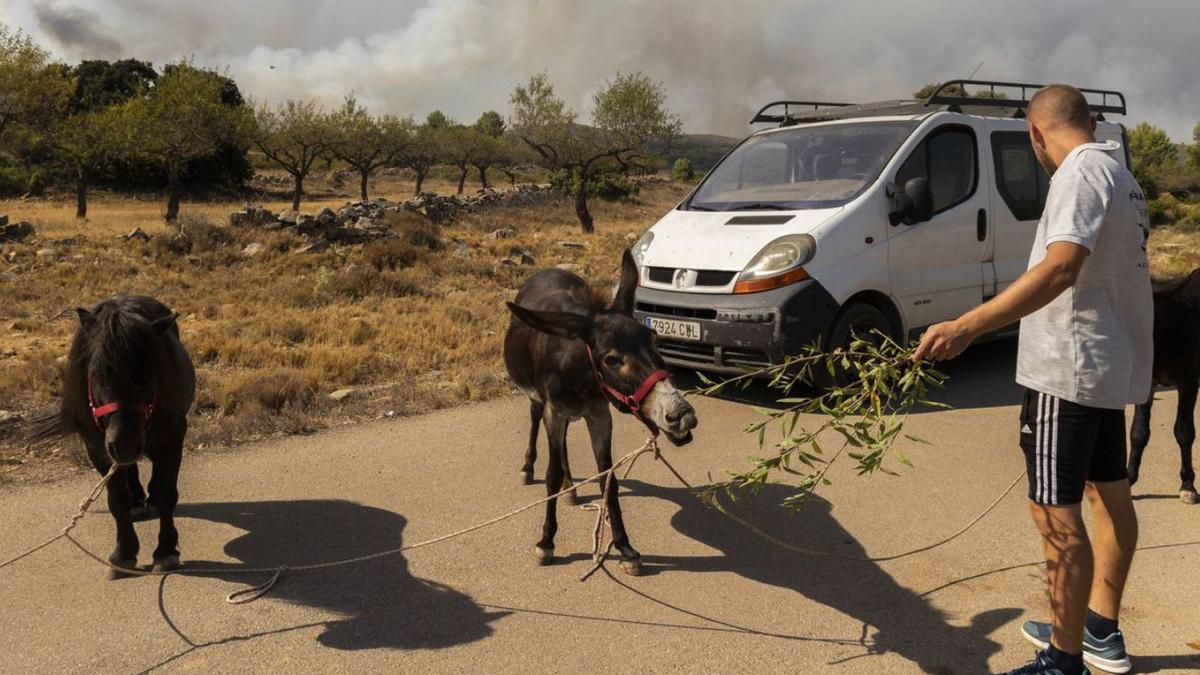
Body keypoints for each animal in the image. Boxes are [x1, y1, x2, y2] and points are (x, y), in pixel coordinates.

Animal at [37, 293, 194, 571]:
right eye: (96, 372)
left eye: (149, 374)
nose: (125, 444)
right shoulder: (98, 449)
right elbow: (116, 499)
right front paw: (124, 553)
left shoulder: (173, 439)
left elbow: (167, 493)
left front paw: (165, 551)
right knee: (128, 469)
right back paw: (137, 501)